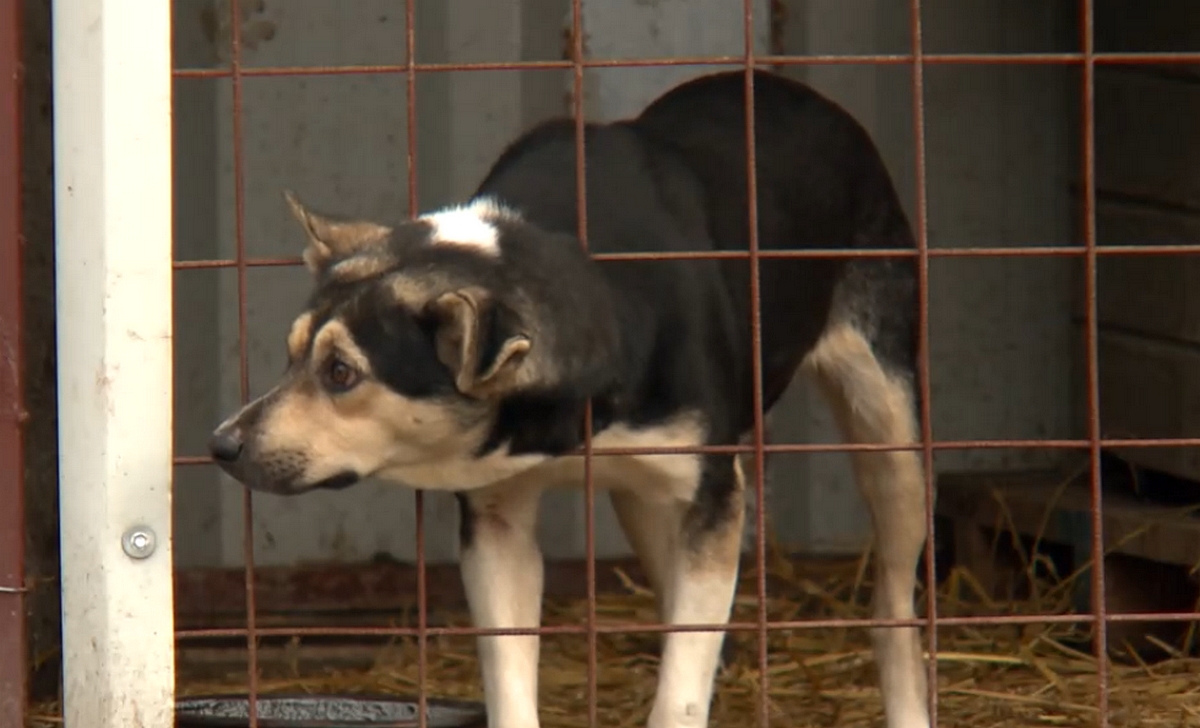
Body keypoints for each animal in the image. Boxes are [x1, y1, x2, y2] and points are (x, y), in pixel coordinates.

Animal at [211, 71, 931, 728]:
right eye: (290, 353)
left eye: (340, 372)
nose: (220, 445)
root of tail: (794, 88)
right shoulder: (498, 519)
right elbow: (511, 679)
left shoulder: (714, 497)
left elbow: (681, 690)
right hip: (645, 504)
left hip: (888, 429)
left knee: (893, 604)